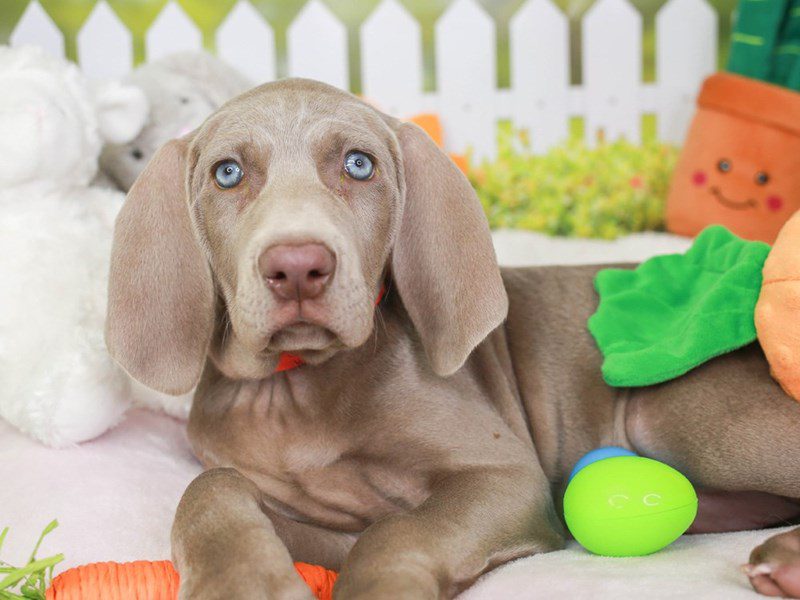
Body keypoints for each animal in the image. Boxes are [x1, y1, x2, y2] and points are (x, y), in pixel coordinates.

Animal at [106, 77, 800, 596]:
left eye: (359, 164)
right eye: (227, 173)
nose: (298, 266)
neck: (296, 387)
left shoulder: (504, 479)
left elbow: (398, 533)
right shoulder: (321, 525)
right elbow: (211, 489)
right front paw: (243, 580)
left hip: (673, 413)